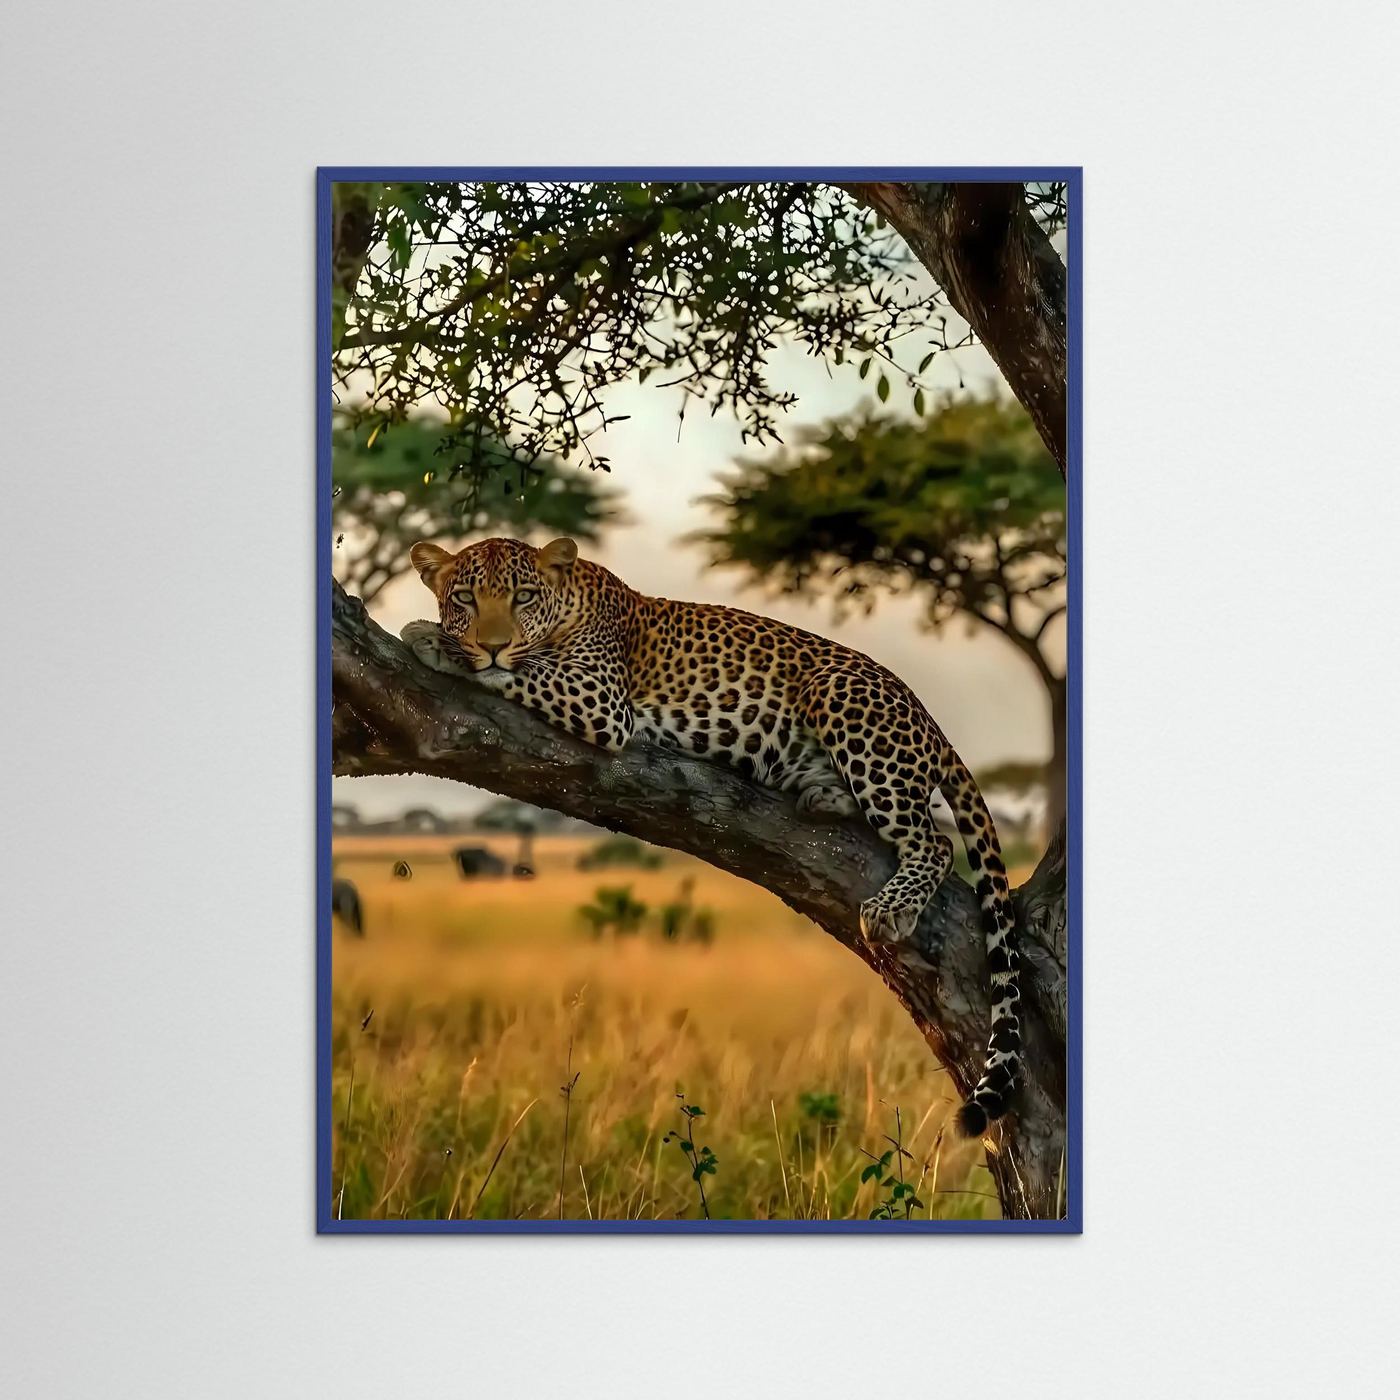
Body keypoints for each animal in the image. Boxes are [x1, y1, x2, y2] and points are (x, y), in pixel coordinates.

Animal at [401, 535, 1022, 1136]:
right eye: (464, 599)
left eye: (523, 598)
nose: (491, 643)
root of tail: (930, 720)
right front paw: (449, 640)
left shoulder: (600, 698)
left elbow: (522, 672)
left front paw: (433, 641)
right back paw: (822, 795)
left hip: (840, 695)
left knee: (935, 841)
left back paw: (892, 907)